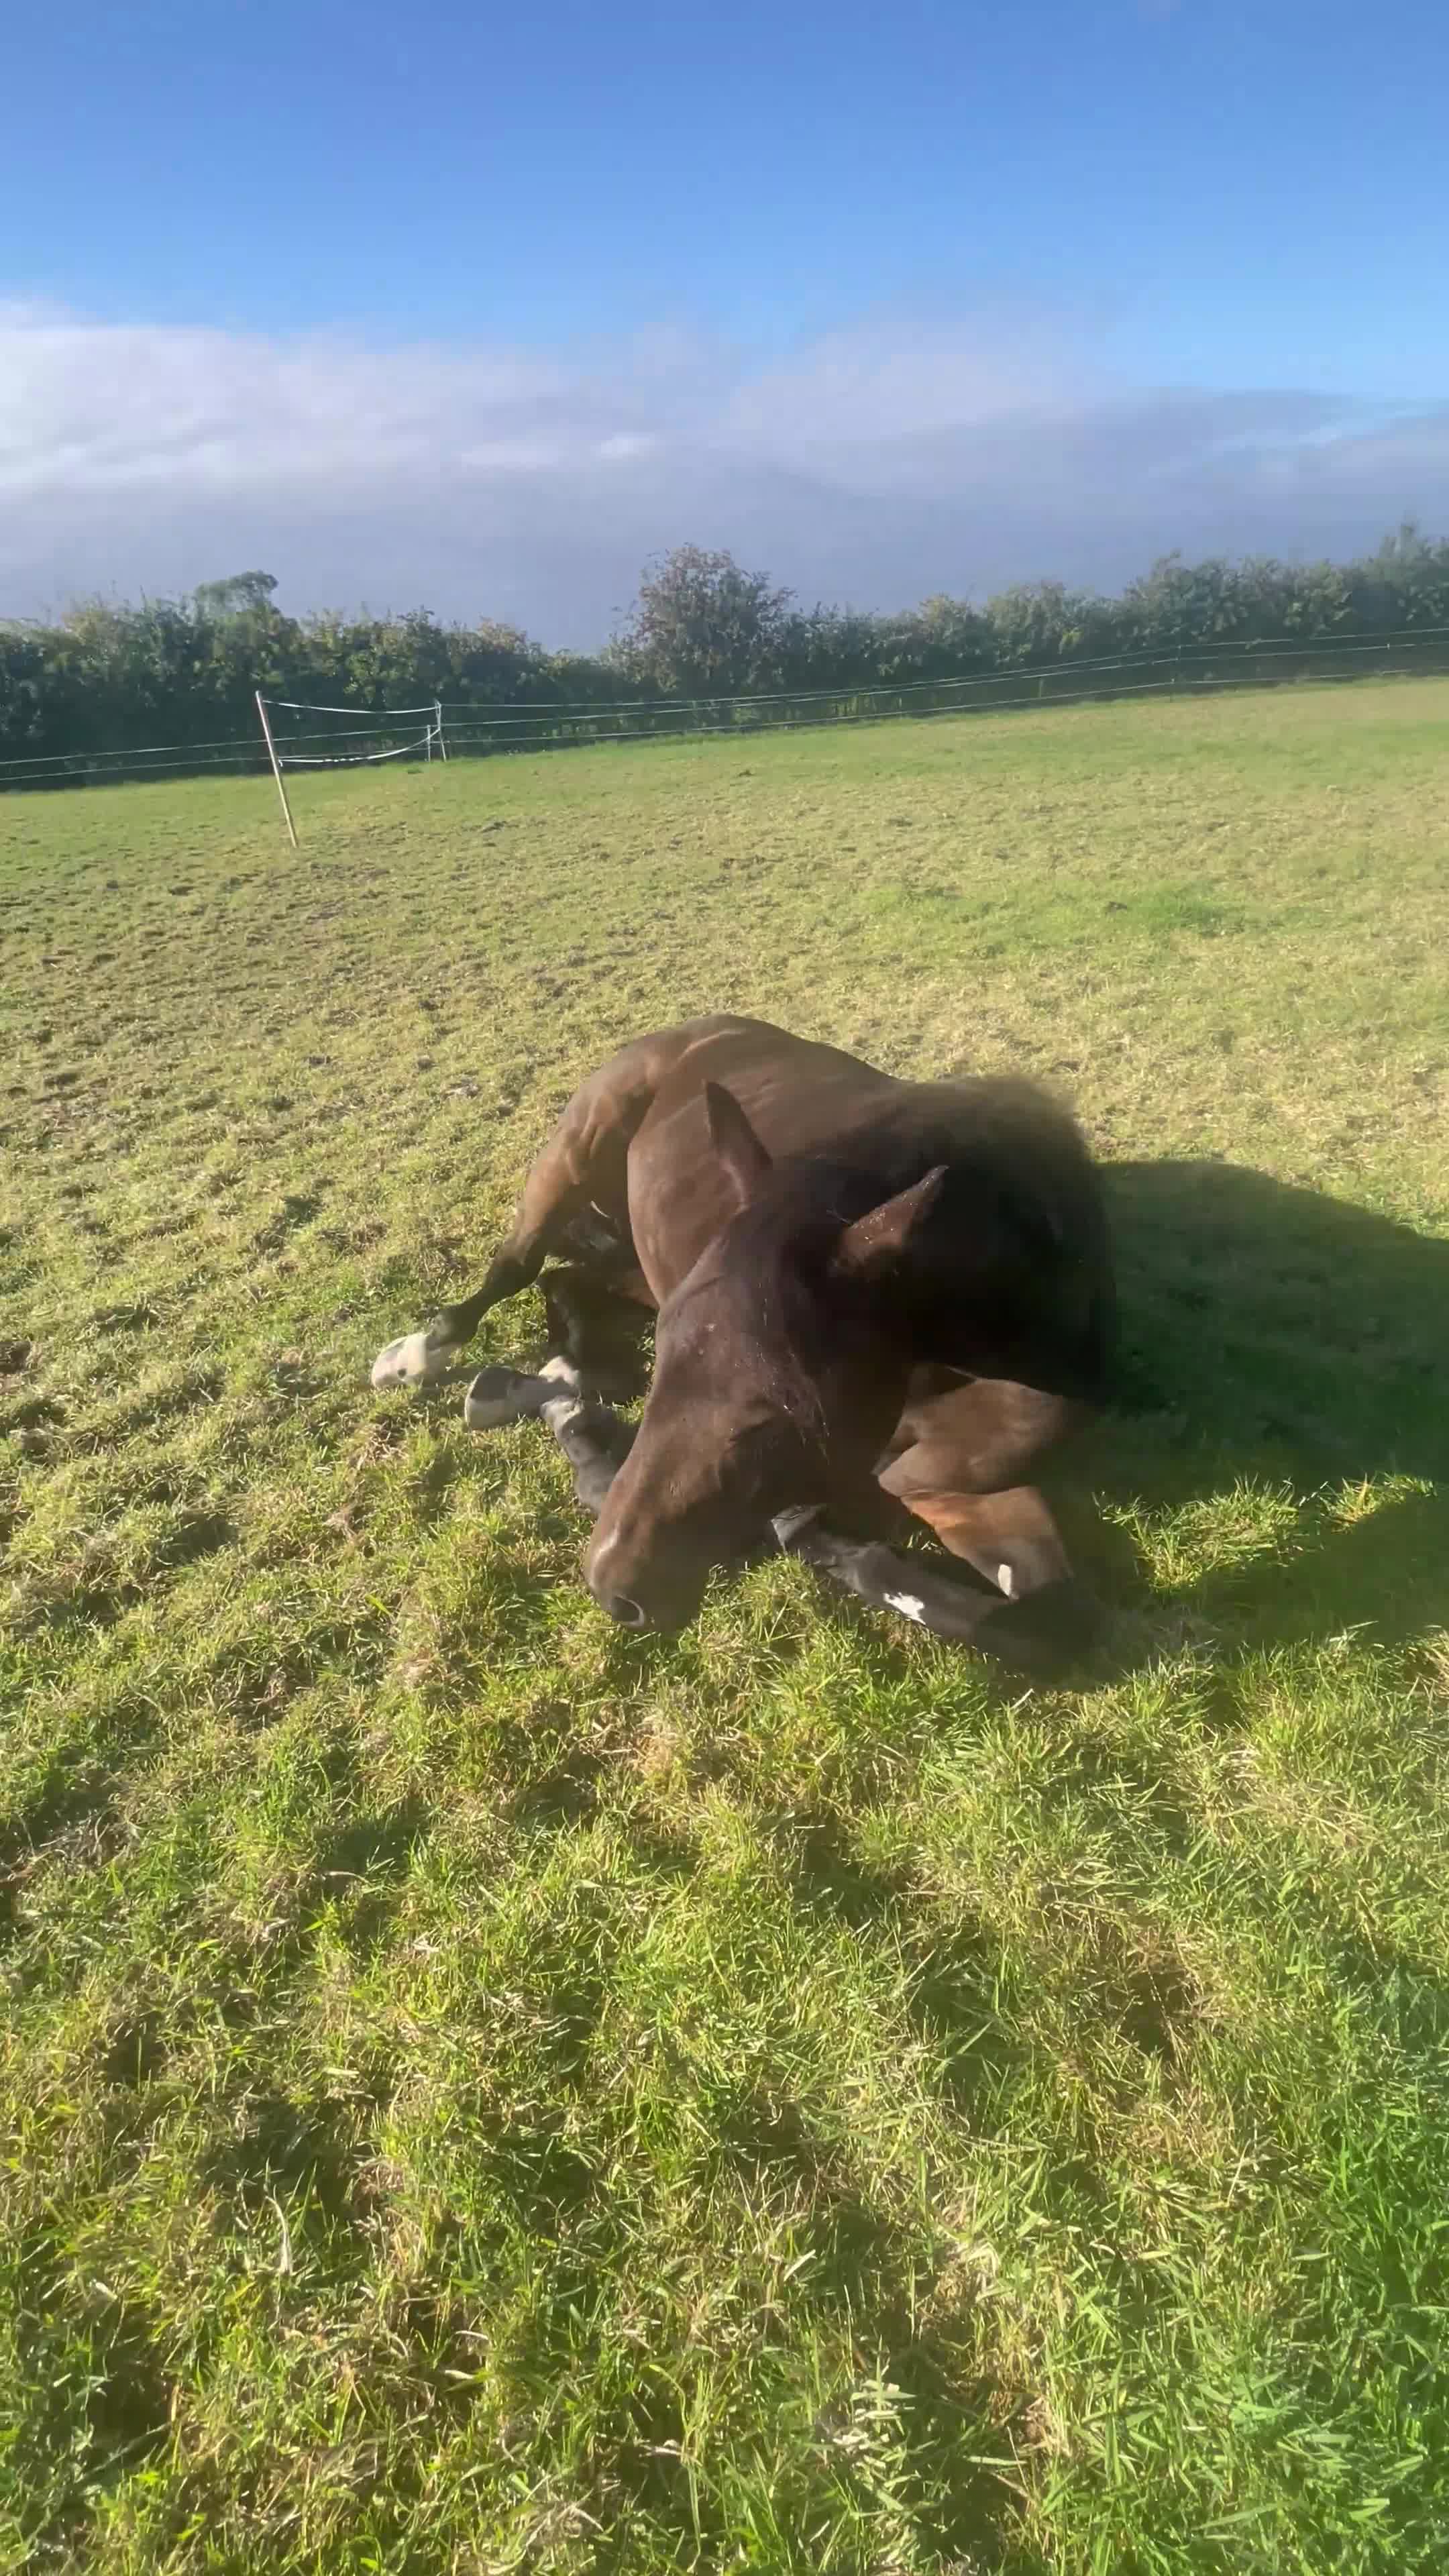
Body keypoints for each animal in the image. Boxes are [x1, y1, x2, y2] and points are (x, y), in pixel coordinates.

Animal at [371, 1014, 1116, 1667]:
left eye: (782, 1402)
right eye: (666, 1359)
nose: (616, 1589)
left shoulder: (966, 1491)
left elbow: (1047, 1626)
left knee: (567, 1287)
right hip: (578, 1148)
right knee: (521, 1263)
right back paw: (426, 1357)